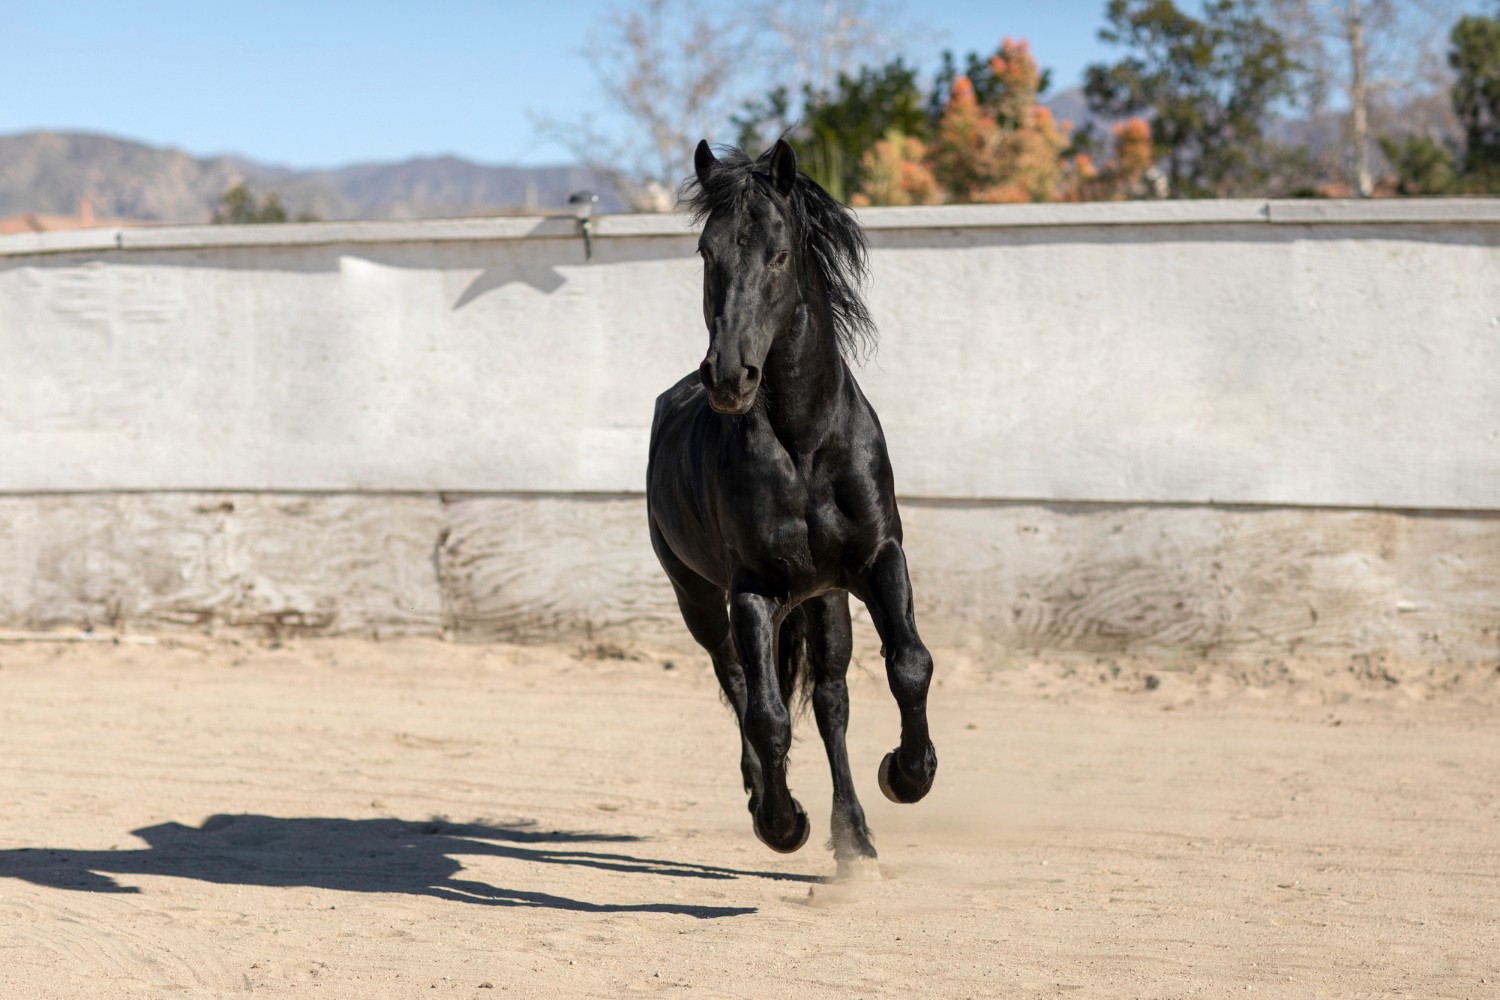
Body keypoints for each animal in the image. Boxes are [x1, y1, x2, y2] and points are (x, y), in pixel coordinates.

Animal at [645, 139, 938, 869]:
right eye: (706, 253)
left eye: (778, 254)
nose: (728, 376)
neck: (806, 446)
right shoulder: (752, 590)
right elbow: (766, 715)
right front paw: (782, 824)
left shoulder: (879, 559)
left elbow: (910, 665)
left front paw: (906, 775)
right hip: (699, 599)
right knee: (737, 684)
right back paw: (770, 804)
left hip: (824, 599)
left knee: (832, 702)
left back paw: (855, 838)